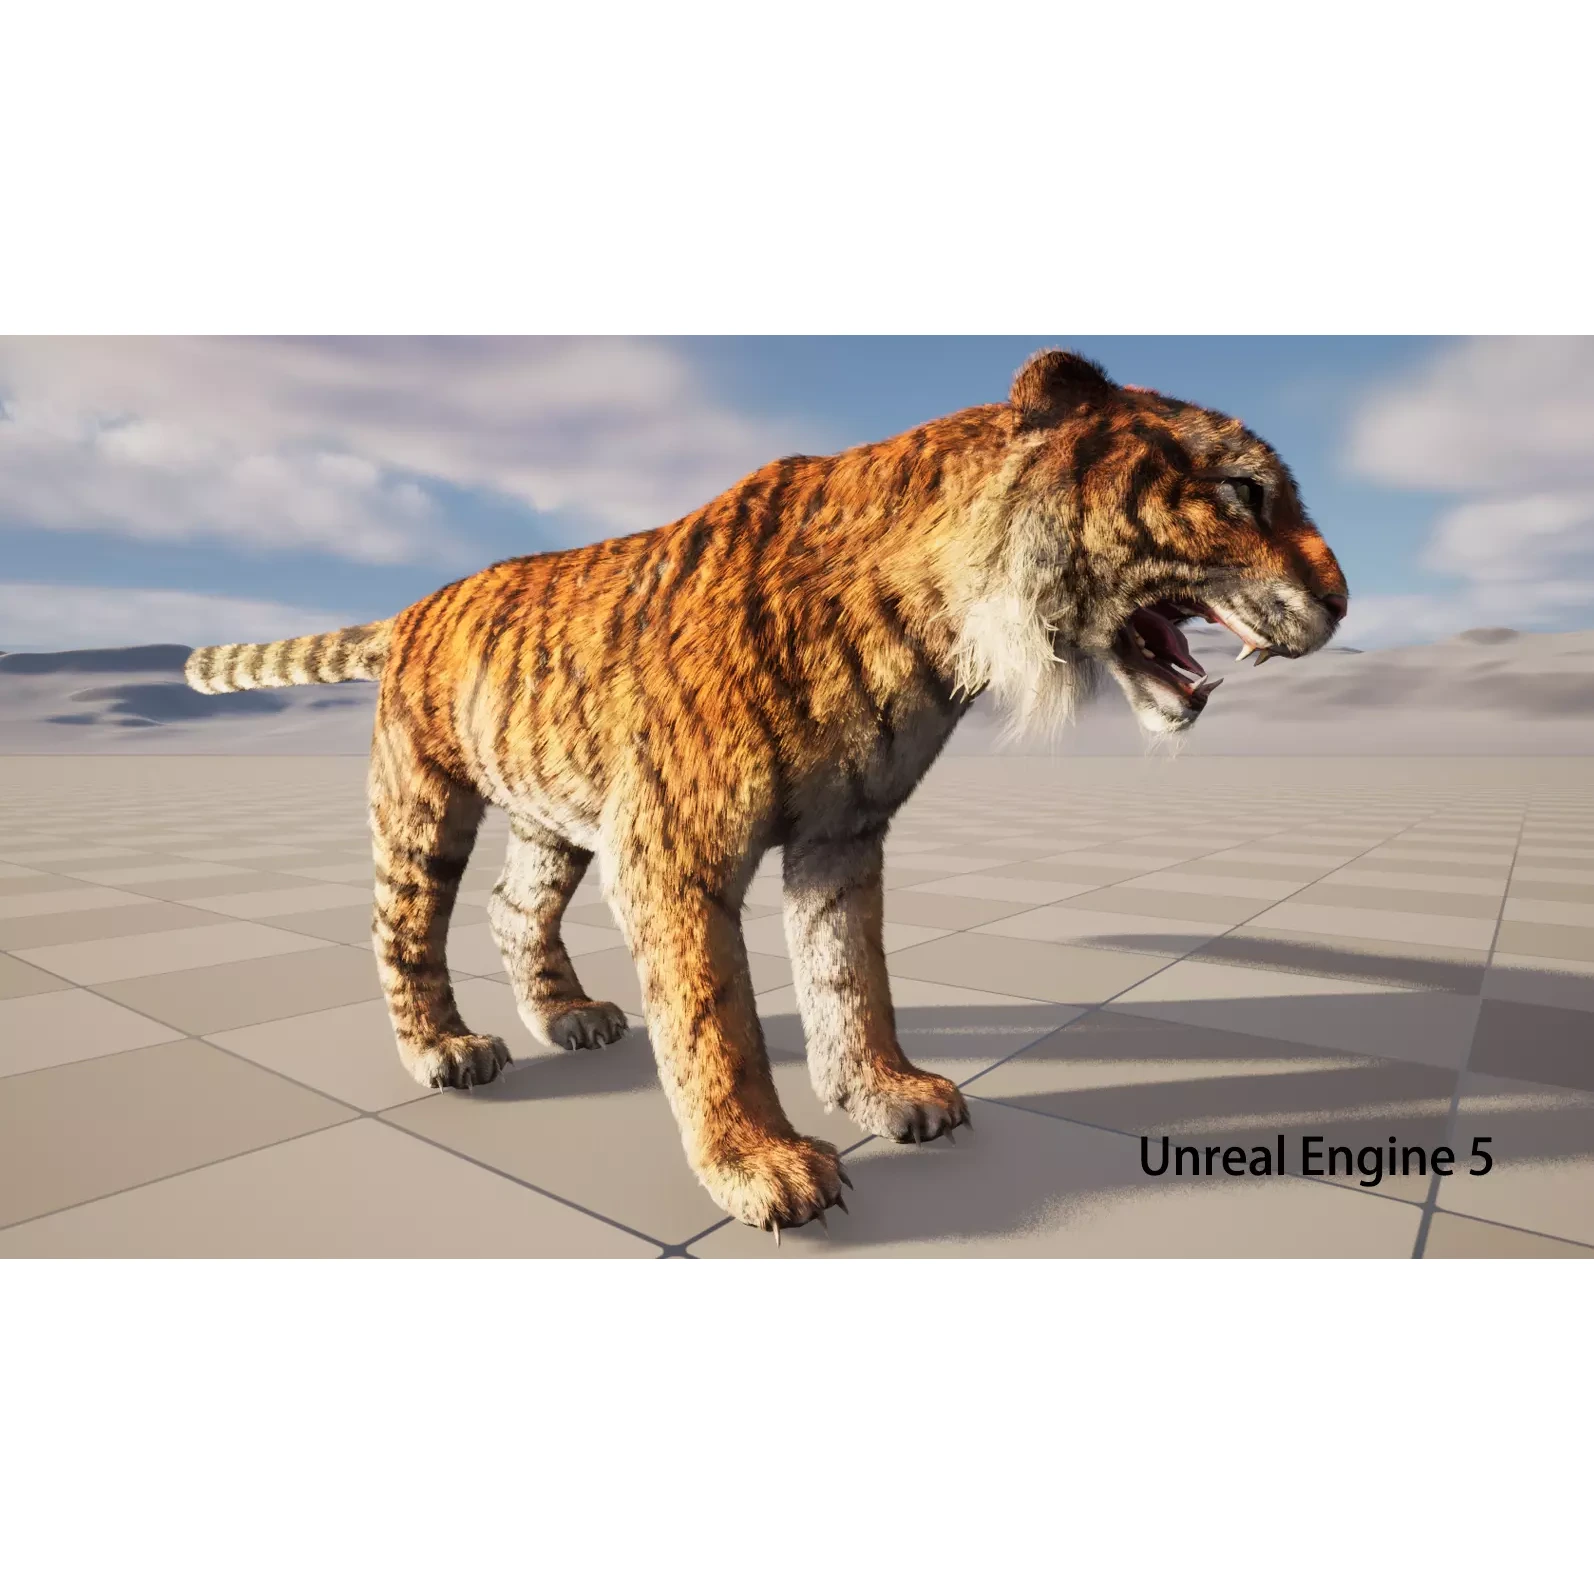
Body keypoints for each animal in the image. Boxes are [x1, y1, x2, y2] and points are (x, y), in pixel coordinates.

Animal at [186, 349, 1349, 1236]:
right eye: (1243, 490)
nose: (1339, 603)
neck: (942, 623)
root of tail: (417, 603)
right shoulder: (673, 848)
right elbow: (717, 1022)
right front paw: (763, 1166)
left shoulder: (844, 834)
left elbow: (849, 976)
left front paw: (885, 1091)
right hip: (428, 801)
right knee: (403, 924)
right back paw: (444, 1048)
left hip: (555, 812)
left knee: (515, 908)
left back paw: (567, 1016)